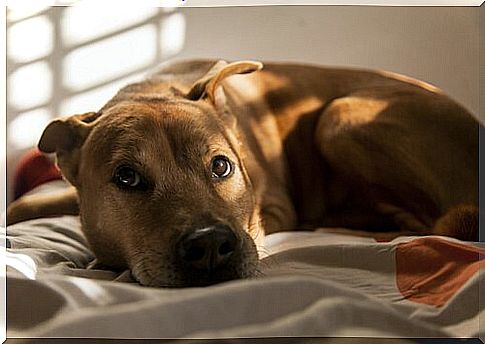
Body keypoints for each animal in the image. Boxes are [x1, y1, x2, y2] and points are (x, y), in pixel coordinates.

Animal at [7, 59, 480, 288]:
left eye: (221, 166)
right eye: (127, 178)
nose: (210, 247)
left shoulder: (275, 210)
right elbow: (28, 204)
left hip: (339, 117)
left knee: (424, 223)